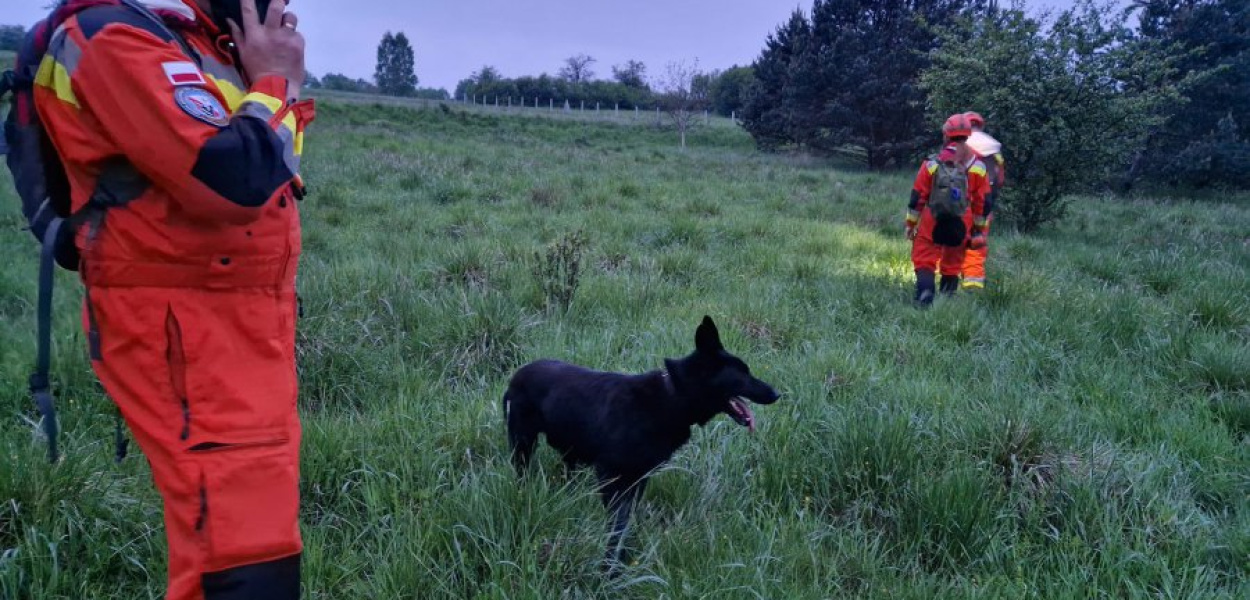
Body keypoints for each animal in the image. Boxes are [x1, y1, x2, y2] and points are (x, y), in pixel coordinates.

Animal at [500, 316, 775, 565]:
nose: (777, 394)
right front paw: (612, 563)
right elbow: (617, 525)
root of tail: (516, 375)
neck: (673, 395)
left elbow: (627, 519)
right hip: (523, 444)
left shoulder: (639, 476)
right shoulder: (610, 474)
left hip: (570, 451)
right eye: (743, 374)